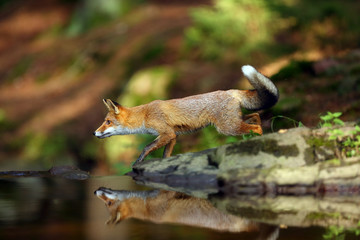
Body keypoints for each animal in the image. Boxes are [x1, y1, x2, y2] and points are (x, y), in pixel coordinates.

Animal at [93, 64, 278, 164]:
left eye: (107, 122)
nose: (94, 133)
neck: (145, 115)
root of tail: (230, 91)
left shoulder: (167, 133)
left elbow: (146, 147)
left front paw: (138, 161)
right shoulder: (173, 136)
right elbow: (165, 155)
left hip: (228, 127)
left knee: (256, 128)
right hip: (234, 122)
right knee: (257, 117)